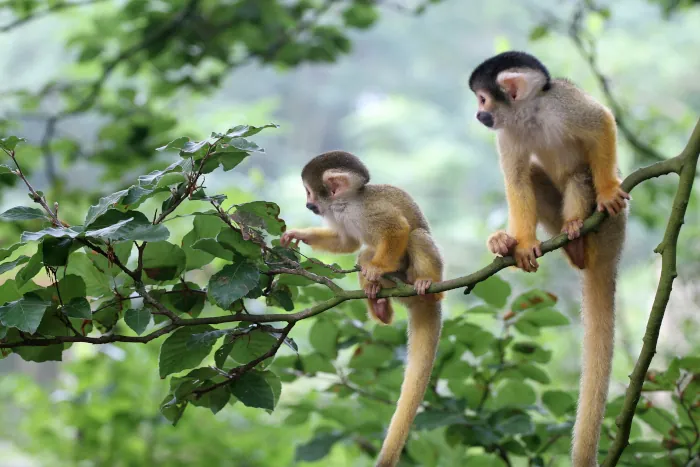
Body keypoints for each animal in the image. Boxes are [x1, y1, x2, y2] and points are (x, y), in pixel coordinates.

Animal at [278, 152, 442, 466]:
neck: (346, 205)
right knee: (363, 252)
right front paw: (300, 234)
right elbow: (348, 242)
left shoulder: (369, 208)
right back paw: (378, 303)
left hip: (417, 279)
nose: (308, 204)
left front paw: (377, 268)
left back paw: (426, 284)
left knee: (416, 236)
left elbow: (397, 229)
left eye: (309, 192)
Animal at [470, 49, 628, 466]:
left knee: (580, 175)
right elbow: (518, 181)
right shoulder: (508, 132)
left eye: (483, 99)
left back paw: (578, 231)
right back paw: (519, 244)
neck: (529, 114)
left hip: (610, 227)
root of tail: (612, 254)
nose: (478, 114)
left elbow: (601, 122)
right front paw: (522, 244)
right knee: (536, 175)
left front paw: (609, 189)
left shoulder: (561, 103)